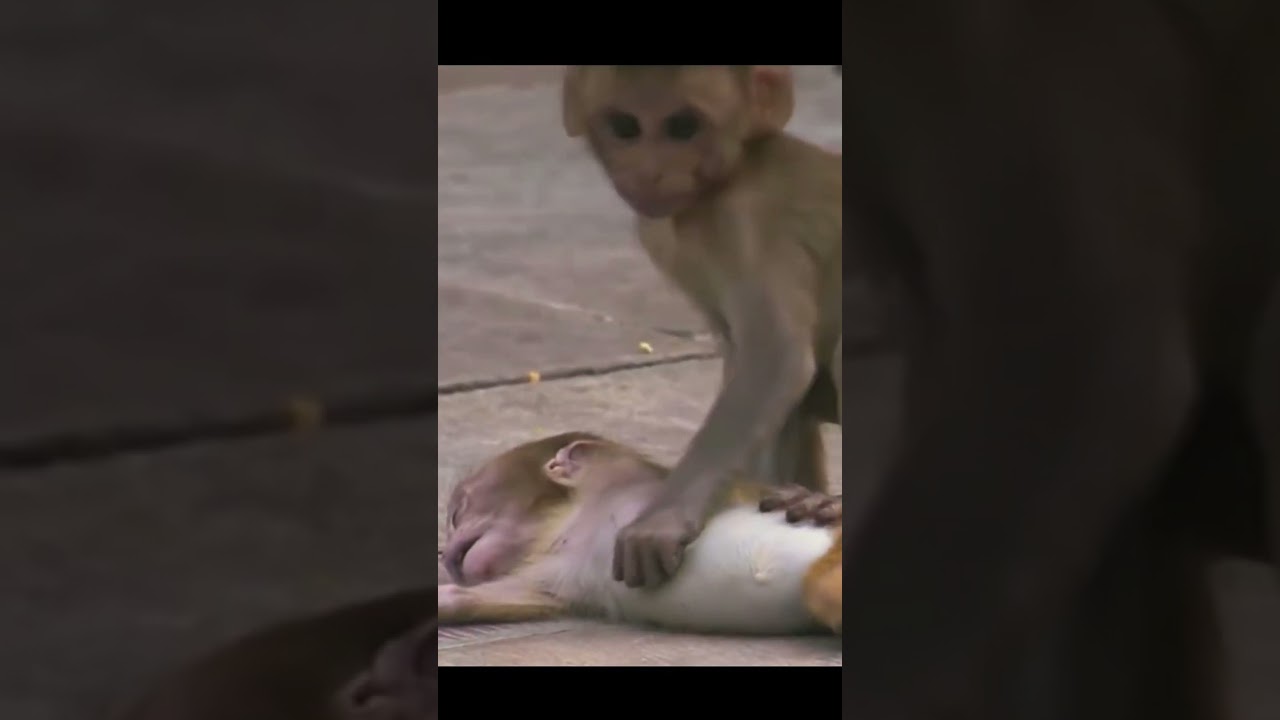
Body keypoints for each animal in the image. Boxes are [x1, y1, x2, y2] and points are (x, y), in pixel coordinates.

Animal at [439, 434, 843, 636]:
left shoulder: (638, 485)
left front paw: (815, 502)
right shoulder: (555, 570)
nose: (444, 552)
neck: (569, 524)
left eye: (459, 511)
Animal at [561, 65, 844, 589]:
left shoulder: (744, 224)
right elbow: (744, 360)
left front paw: (663, 519)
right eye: (625, 126)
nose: (649, 169)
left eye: (683, 126)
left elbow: (777, 360)